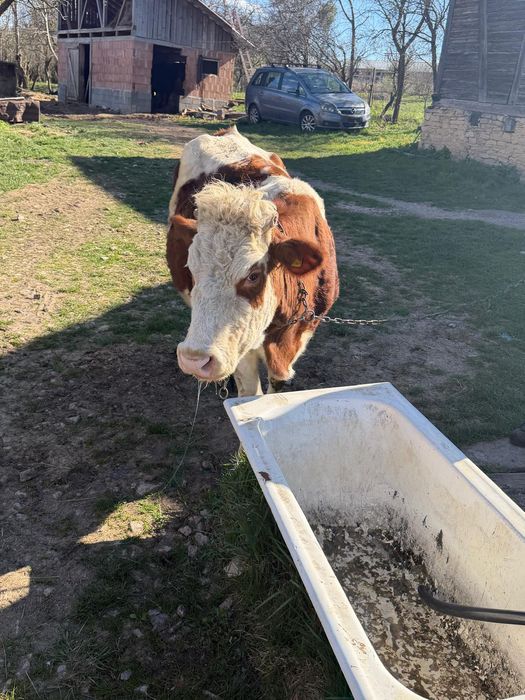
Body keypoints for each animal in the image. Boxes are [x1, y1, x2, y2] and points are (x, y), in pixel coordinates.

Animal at [167, 125, 339, 396]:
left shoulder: (302, 333)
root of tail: (224, 132)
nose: (194, 360)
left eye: (253, 275)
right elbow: (250, 394)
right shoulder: (242, 348)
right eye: (192, 271)